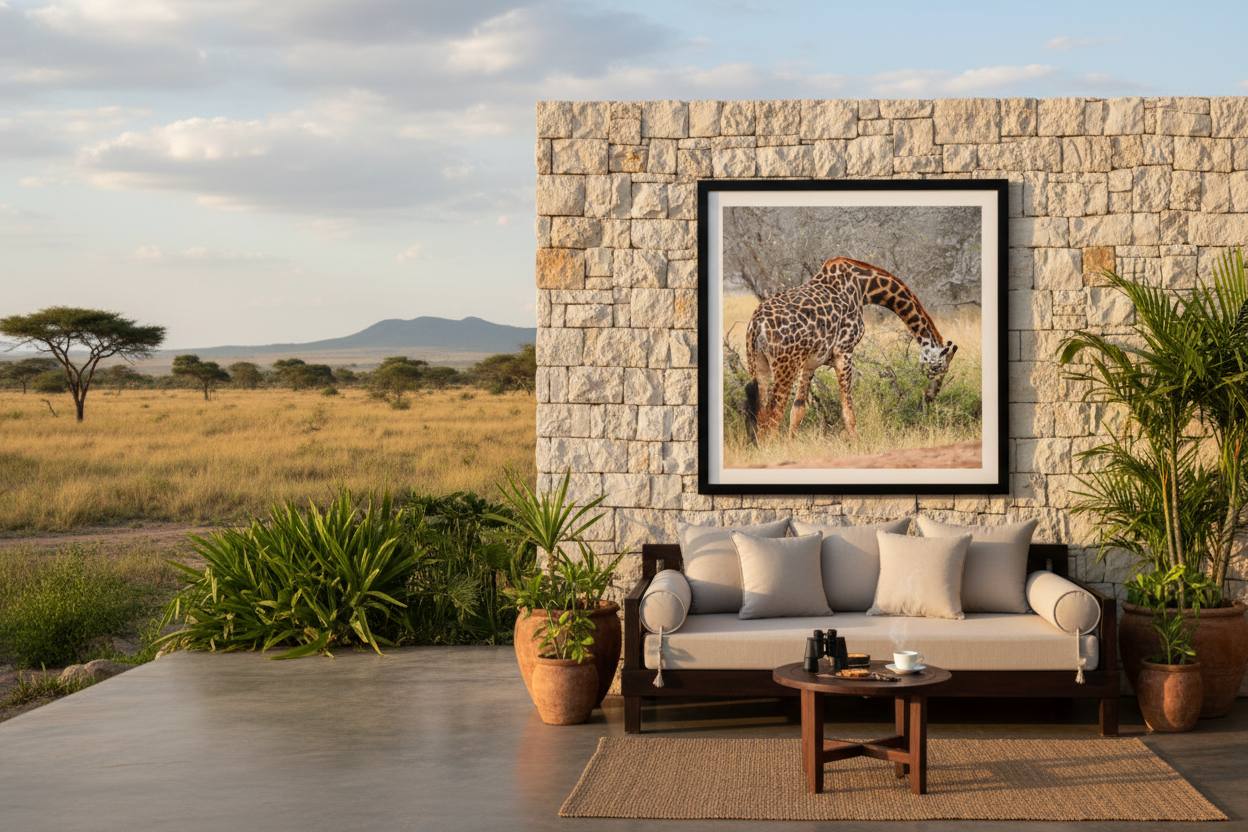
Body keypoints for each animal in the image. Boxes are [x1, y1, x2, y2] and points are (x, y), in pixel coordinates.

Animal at [742, 257, 957, 444]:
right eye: (941, 368)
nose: (930, 396)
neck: (865, 287)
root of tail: (757, 325)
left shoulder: (810, 363)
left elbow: (797, 411)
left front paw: (789, 448)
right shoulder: (844, 352)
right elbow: (848, 413)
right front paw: (858, 447)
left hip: (758, 364)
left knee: (761, 413)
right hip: (785, 365)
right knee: (772, 415)